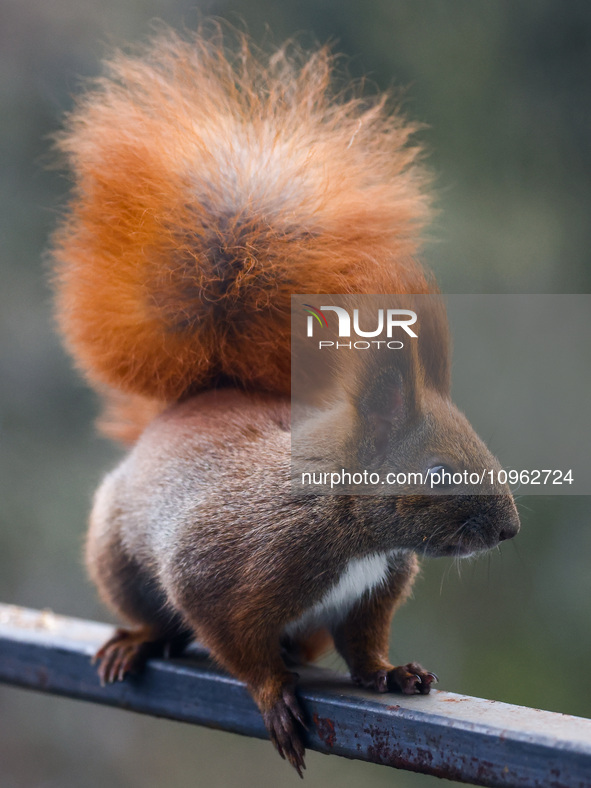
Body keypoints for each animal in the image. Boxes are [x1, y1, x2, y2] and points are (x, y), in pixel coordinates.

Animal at [53, 26, 520, 776]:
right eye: (439, 471)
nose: (508, 530)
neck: (354, 530)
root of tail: (204, 395)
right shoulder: (224, 565)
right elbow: (230, 637)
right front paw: (273, 696)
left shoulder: (370, 595)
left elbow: (361, 644)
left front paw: (391, 673)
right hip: (116, 556)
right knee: (155, 615)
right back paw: (138, 639)